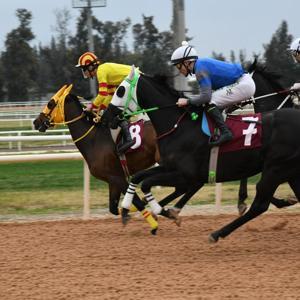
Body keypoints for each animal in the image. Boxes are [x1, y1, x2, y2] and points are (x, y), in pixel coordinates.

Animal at [108, 67, 300, 241]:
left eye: (120, 90)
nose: (106, 116)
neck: (180, 126)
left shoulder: (187, 176)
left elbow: (148, 183)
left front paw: (162, 212)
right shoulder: (169, 167)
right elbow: (138, 177)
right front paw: (126, 208)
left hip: (275, 169)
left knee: (260, 205)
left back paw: (217, 233)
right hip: (288, 172)